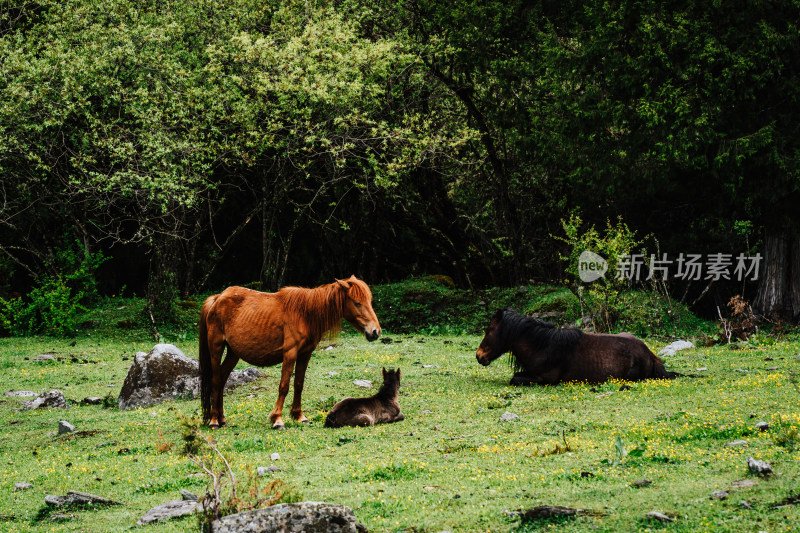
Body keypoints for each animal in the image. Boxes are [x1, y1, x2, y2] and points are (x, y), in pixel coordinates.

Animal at [197, 274, 378, 428]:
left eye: (369, 300)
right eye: (356, 302)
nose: (375, 332)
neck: (305, 314)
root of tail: (218, 298)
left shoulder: (305, 354)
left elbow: (298, 384)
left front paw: (299, 416)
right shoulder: (290, 353)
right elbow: (284, 386)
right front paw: (277, 419)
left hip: (233, 353)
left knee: (222, 379)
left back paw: (222, 419)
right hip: (216, 347)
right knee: (215, 380)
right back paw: (214, 421)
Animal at [478, 308, 680, 386]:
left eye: (488, 331)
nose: (479, 356)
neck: (542, 346)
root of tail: (649, 354)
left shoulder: (546, 379)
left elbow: (514, 379)